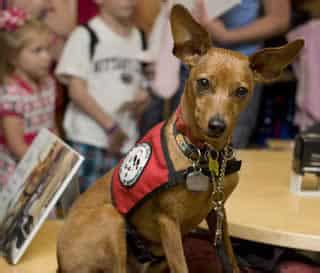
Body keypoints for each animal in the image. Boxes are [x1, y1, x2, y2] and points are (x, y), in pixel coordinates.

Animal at [56, 4, 304, 272]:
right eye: (203, 82)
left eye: (241, 91)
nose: (217, 125)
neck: (206, 156)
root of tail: (59, 263)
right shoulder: (168, 222)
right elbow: (181, 266)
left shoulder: (218, 214)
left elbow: (230, 258)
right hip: (110, 219)